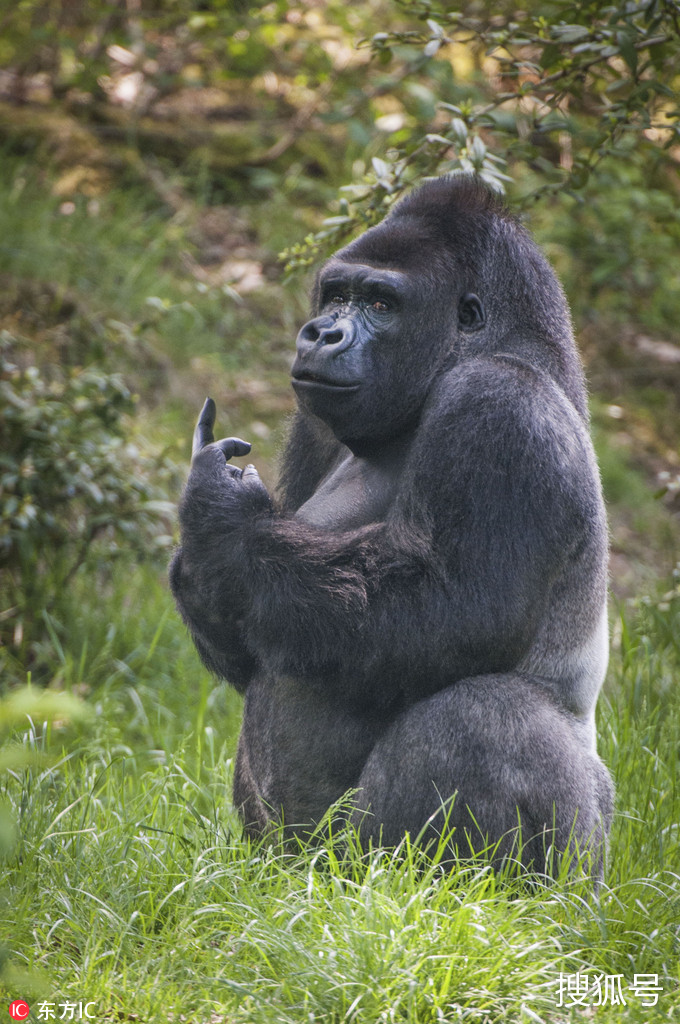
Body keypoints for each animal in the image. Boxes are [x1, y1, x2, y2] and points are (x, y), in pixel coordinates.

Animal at [171, 174, 614, 872]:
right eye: (336, 295)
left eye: (381, 303)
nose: (320, 333)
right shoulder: (317, 425)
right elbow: (251, 628)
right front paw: (197, 557)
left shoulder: (502, 406)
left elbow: (457, 607)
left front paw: (221, 525)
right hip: (280, 858)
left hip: (570, 861)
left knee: (482, 718)